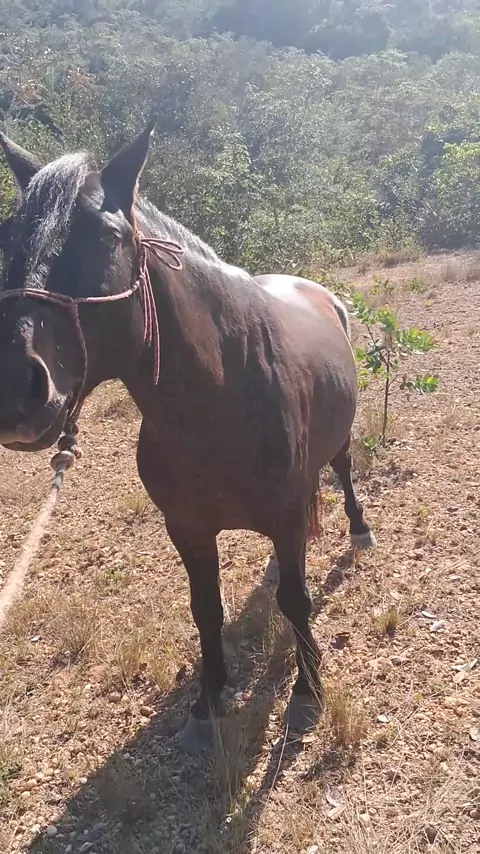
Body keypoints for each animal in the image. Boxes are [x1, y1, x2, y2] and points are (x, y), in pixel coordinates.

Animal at [0, 120, 375, 753]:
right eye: (8, 241)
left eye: (108, 238)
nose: (16, 390)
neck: (217, 401)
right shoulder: (188, 527)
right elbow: (206, 610)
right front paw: (206, 703)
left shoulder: (281, 516)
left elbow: (295, 601)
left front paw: (306, 693)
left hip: (340, 443)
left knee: (343, 472)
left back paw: (359, 529)